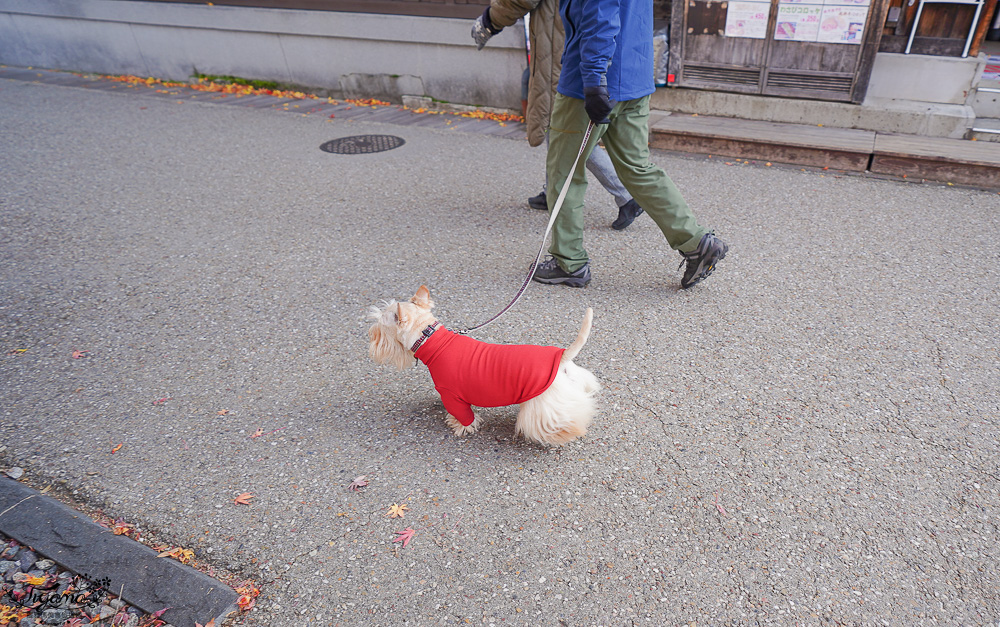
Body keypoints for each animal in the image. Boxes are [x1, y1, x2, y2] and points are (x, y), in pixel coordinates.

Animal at [368, 288, 600, 444]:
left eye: (380, 323)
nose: (370, 335)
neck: (430, 339)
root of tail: (561, 356)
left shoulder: (451, 395)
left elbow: (464, 416)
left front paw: (462, 427)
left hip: (545, 406)